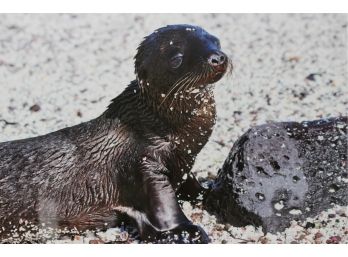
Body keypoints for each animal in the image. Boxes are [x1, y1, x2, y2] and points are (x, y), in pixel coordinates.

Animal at [0, 24, 231, 242]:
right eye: (177, 58)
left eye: (216, 41)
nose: (217, 57)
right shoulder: (144, 163)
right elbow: (163, 202)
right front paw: (185, 231)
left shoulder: (182, 163)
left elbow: (192, 185)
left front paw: (211, 193)